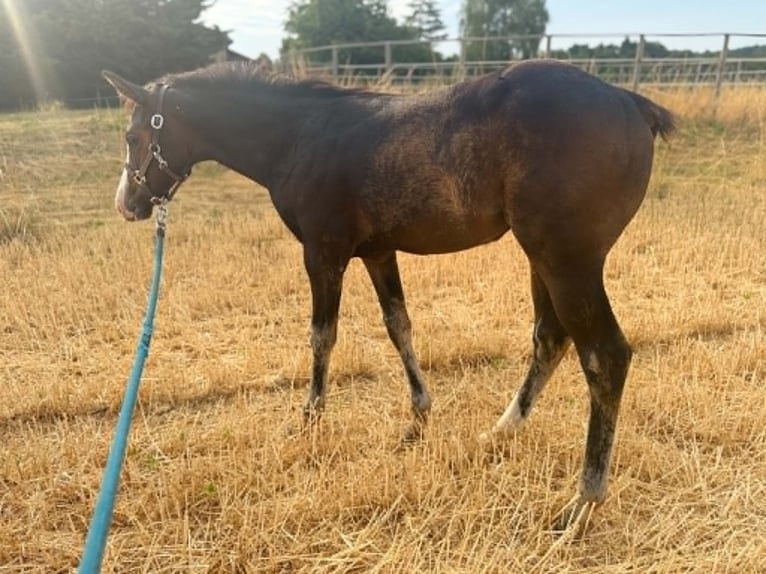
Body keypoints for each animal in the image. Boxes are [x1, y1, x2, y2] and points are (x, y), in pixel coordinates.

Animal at [103, 60, 674, 528]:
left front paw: (310, 420)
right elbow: (398, 324)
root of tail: (630, 102)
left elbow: (323, 335)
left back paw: (582, 500)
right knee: (550, 338)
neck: (299, 136)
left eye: (133, 135)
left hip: (566, 259)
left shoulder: (323, 252)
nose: (127, 205)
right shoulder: (378, 253)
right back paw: (500, 432)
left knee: (604, 355)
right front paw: (419, 415)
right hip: (544, 259)